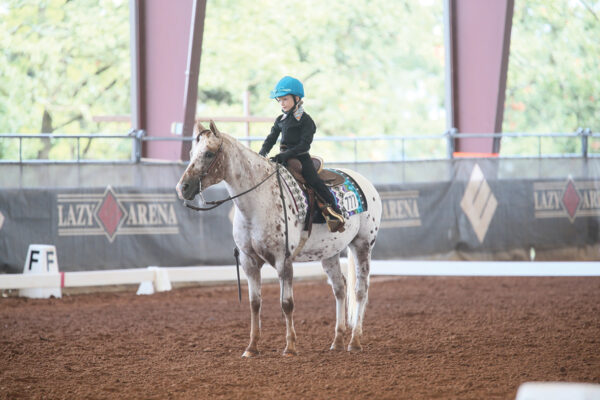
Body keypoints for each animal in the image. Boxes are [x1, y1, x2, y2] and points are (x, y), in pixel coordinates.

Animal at [176, 119, 382, 356]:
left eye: (209, 153)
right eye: (191, 153)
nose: (183, 188)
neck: (257, 202)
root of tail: (366, 184)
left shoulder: (283, 260)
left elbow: (287, 303)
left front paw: (290, 347)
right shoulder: (248, 260)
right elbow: (254, 303)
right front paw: (252, 347)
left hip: (363, 245)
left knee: (360, 290)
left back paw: (354, 341)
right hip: (329, 253)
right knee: (340, 288)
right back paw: (337, 341)